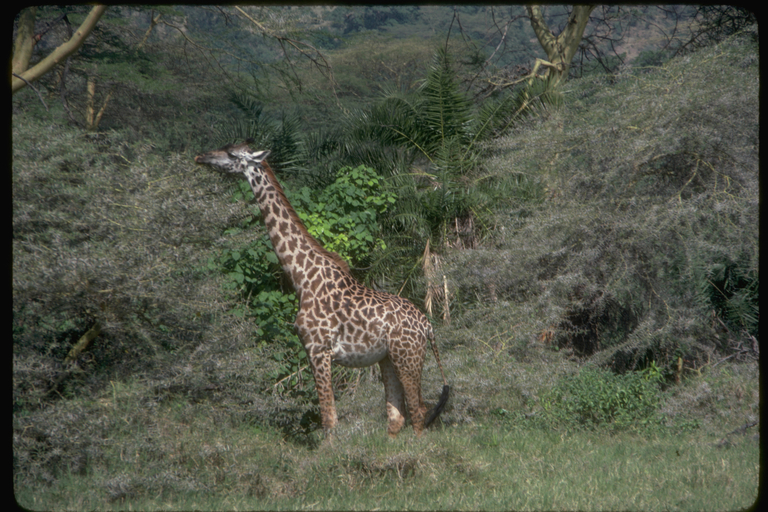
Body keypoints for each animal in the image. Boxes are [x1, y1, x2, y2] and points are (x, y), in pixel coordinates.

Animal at [195, 142, 450, 438]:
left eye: (231, 154)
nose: (201, 157)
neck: (302, 277)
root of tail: (428, 326)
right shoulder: (317, 351)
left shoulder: (318, 349)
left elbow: (329, 419)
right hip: (388, 358)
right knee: (396, 416)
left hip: (407, 356)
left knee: (419, 413)